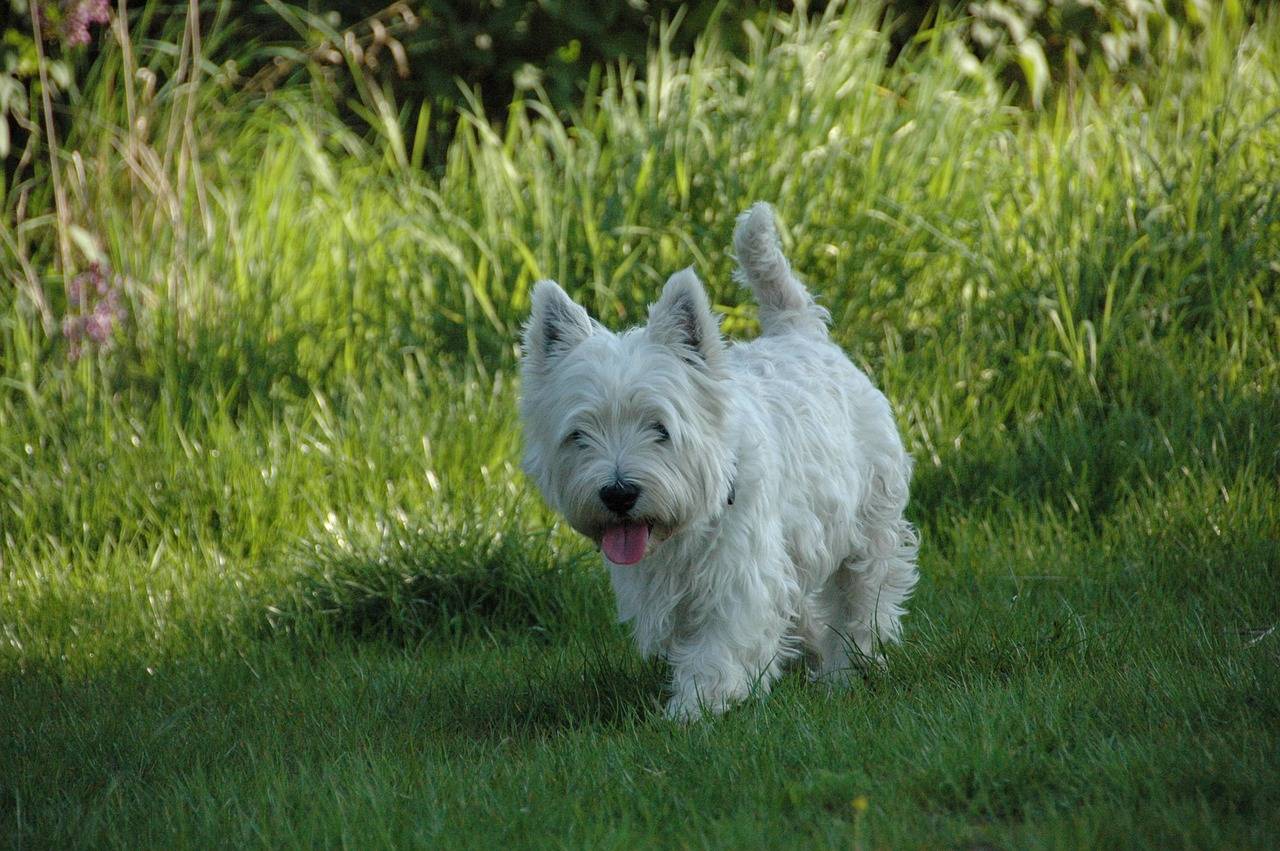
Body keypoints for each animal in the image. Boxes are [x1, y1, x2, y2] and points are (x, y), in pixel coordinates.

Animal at [519, 204, 921, 716]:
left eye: (660, 428)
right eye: (579, 435)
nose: (618, 493)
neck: (681, 530)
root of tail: (800, 331)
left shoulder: (740, 572)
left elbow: (721, 645)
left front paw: (695, 709)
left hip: (870, 522)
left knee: (863, 598)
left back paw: (846, 672)